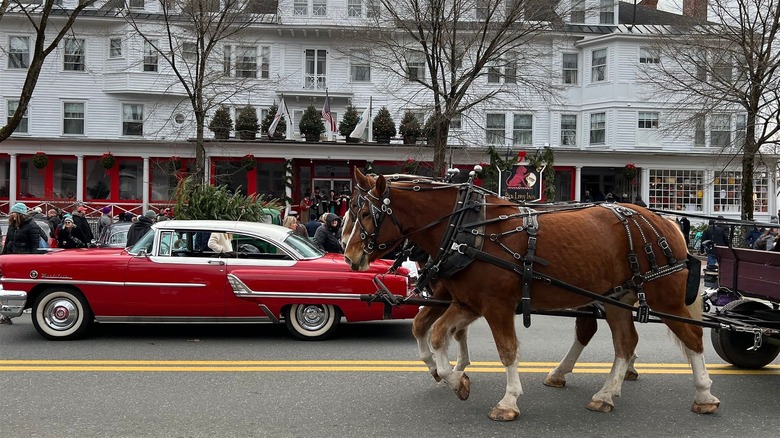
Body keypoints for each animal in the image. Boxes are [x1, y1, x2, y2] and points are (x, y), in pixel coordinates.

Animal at [342, 169, 720, 420]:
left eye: (365, 213)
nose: (349, 255)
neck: (466, 229)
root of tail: (666, 223)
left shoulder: (496, 306)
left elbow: (506, 350)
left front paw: (507, 401)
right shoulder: (467, 302)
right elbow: (432, 333)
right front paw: (454, 378)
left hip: (664, 298)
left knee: (693, 338)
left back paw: (704, 394)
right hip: (618, 299)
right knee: (625, 344)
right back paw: (605, 393)